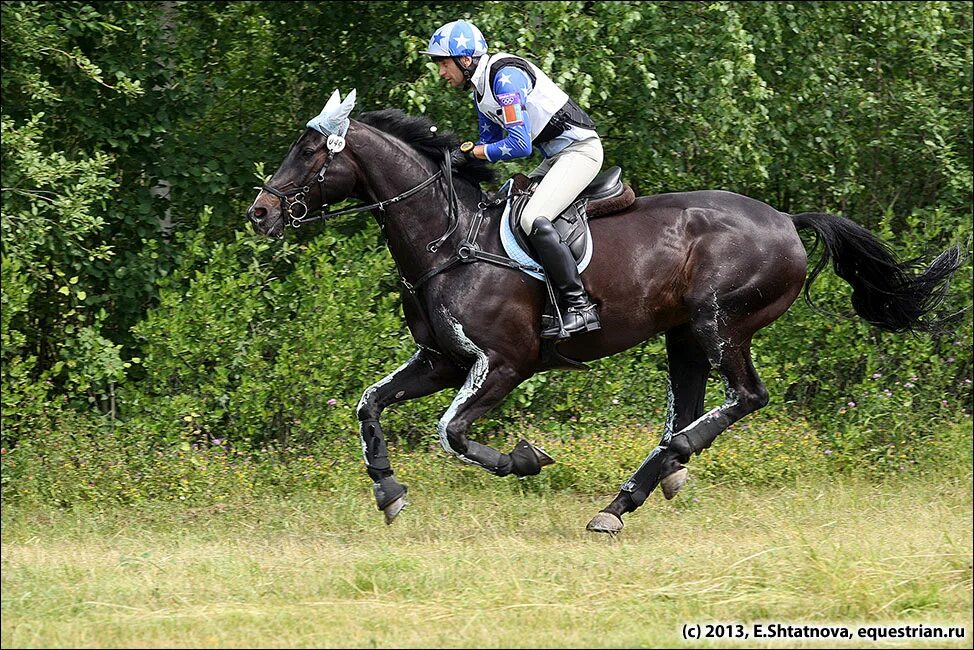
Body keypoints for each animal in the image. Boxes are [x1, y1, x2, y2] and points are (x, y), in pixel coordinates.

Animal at [248, 105, 964, 532]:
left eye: (311, 153)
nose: (261, 213)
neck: (449, 238)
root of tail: (788, 221)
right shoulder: (443, 361)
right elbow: (370, 404)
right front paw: (388, 491)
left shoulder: (502, 365)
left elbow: (452, 434)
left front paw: (526, 459)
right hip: (684, 333)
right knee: (691, 406)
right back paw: (653, 483)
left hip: (720, 322)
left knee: (744, 397)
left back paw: (640, 487)